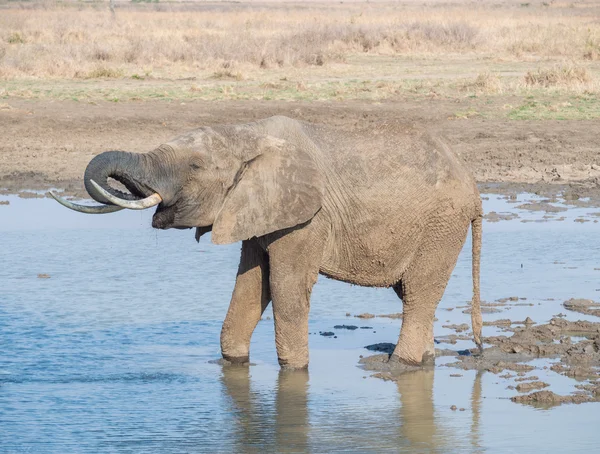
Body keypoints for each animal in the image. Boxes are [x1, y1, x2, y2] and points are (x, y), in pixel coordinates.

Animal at [51, 114, 482, 368]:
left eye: (195, 166)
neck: (249, 134)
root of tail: (473, 186)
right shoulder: (255, 212)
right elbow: (251, 284)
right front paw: (233, 363)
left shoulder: (308, 218)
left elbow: (286, 287)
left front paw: (294, 372)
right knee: (412, 293)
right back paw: (423, 360)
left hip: (442, 224)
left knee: (419, 293)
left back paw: (400, 365)